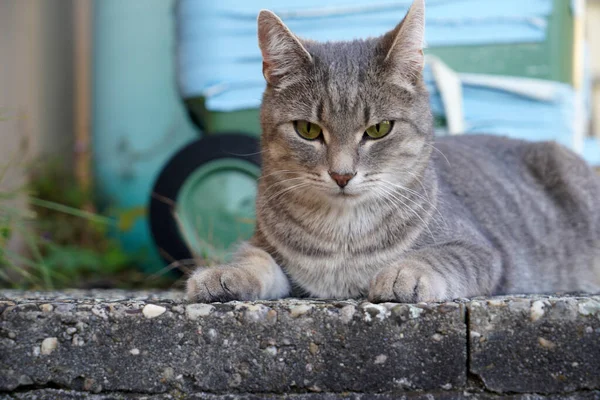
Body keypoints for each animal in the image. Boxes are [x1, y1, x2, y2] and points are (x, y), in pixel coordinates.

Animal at [186, 0, 600, 302]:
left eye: (378, 129)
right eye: (308, 130)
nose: (341, 174)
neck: (342, 237)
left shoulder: (482, 250)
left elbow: (441, 257)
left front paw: (407, 273)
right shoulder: (265, 245)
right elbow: (254, 258)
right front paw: (224, 273)